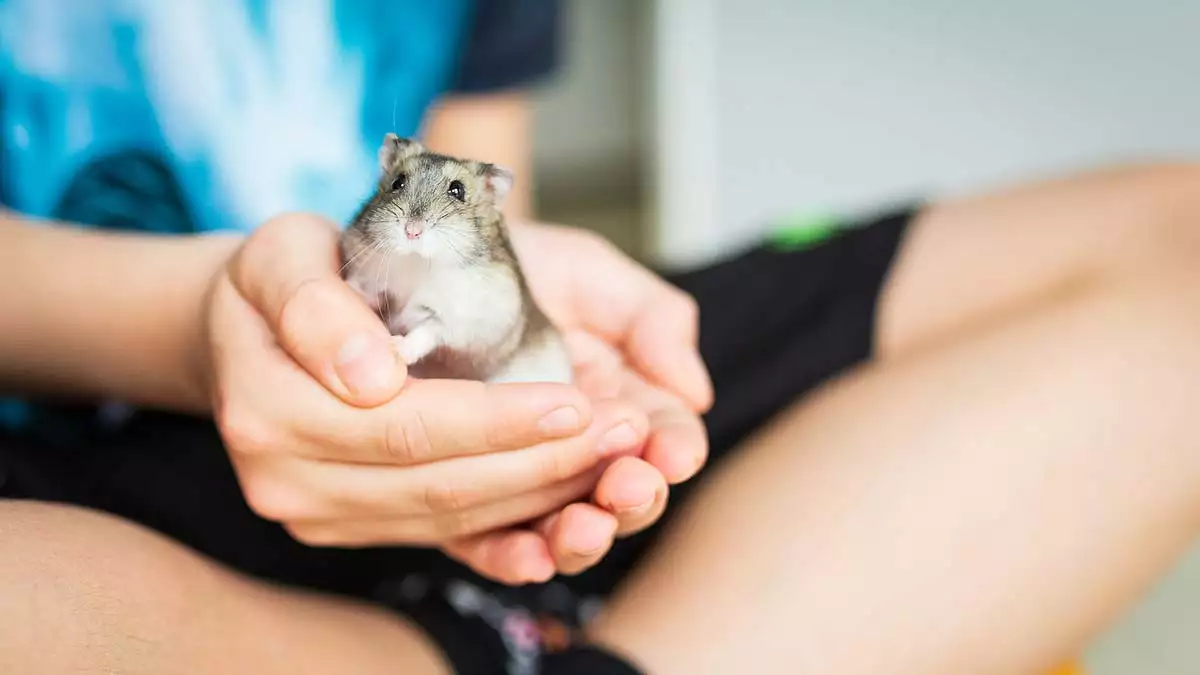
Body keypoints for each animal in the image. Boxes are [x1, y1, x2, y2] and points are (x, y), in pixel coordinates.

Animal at [340, 132, 573, 384]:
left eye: (457, 190)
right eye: (397, 182)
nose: (412, 231)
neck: (417, 263)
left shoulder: (458, 318)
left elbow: (428, 331)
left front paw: (396, 349)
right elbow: (370, 291)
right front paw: (349, 287)